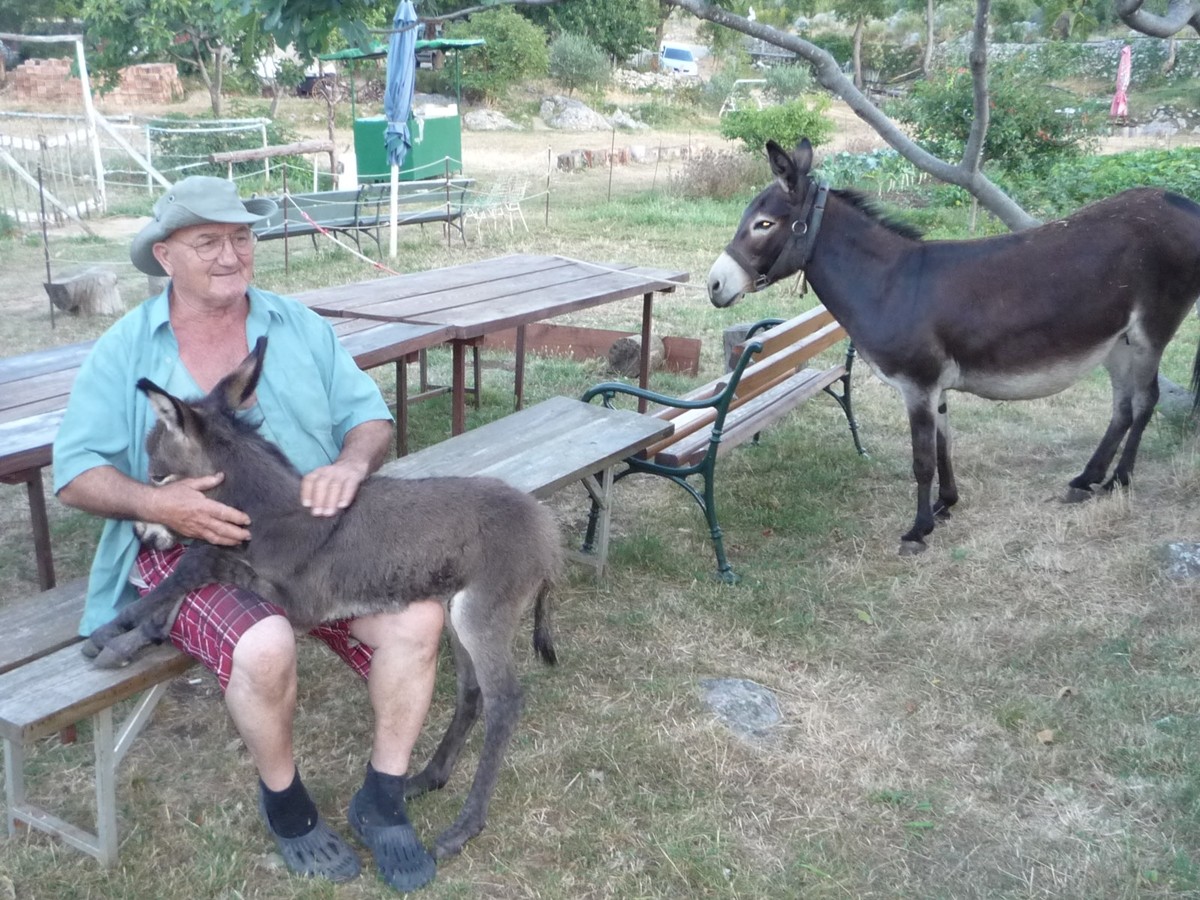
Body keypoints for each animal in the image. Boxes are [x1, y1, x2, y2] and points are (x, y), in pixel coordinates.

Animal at [84, 336, 561, 859]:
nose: (141, 537)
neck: (276, 515)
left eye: (156, 478)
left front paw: (113, 630)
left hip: (482, 611)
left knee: (505, 701)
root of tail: (546, 530)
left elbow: (201, 561)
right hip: (457, 612)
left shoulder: (298, 604)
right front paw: (131, 637)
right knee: (471, 691)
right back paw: (429, 777)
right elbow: (198, 568)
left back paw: (464, 826)